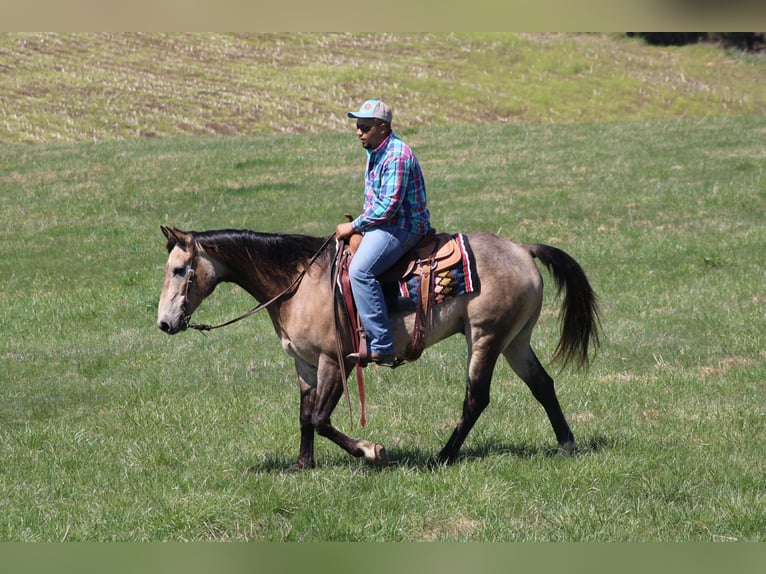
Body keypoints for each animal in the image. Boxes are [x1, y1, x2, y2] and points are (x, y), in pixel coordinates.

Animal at [156, 225, 600, 472]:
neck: (299, 282)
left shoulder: (335, 361)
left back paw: (443, 456)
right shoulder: (304, 364)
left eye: (179, 270)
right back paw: (566, 444)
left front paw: (372, 451)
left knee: (476, 398)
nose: (164, 322)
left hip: (485, 338)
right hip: (515, 341)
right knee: (542, 385)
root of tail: (523, 249)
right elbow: (304, 416)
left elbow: (320, 418)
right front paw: (301, 465)